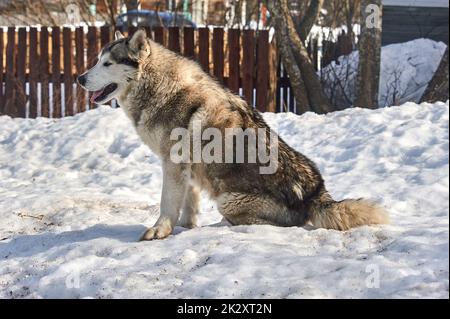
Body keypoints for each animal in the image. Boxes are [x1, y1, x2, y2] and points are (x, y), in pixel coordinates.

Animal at [76, 30, 386, 240]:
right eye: (97, 60)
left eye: (107, 64)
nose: (80, 78)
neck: (160, 88)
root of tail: (317, 193)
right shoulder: (186, 170)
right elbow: (188, 206)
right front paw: (185, 228)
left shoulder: (173, 164)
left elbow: (167, 204)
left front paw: (159, 231)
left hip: (228, 200)